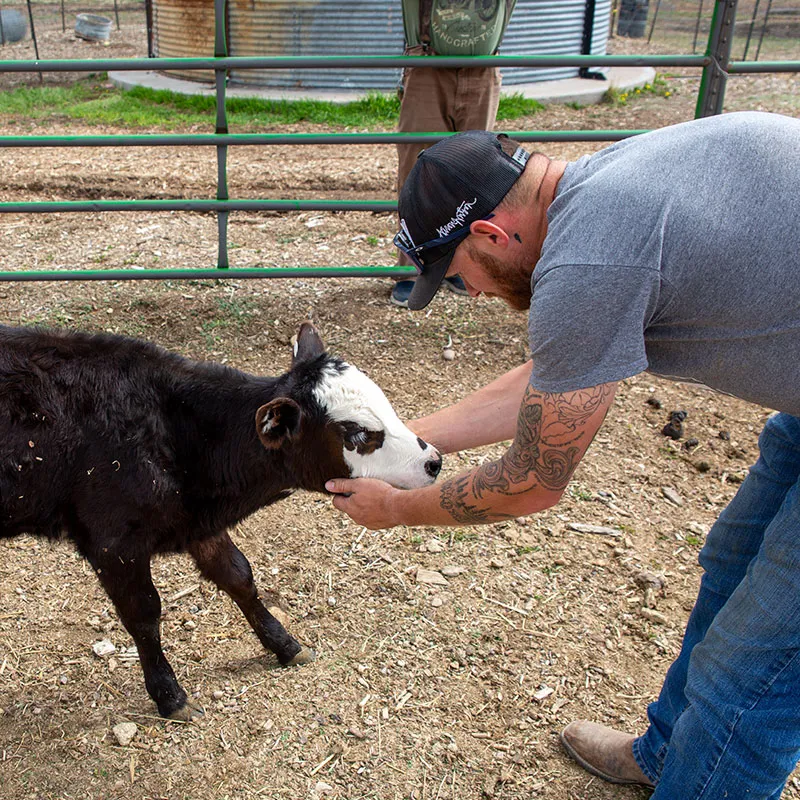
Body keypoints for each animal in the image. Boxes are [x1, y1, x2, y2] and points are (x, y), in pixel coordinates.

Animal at [0, 321, 442, 720]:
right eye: (357, 433)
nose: (434, 461)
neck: (172, 432)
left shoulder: (199, 524)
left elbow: (239, 577)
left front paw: (285, 645)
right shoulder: (114, 543)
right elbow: (144, 613)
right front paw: (169, 695)